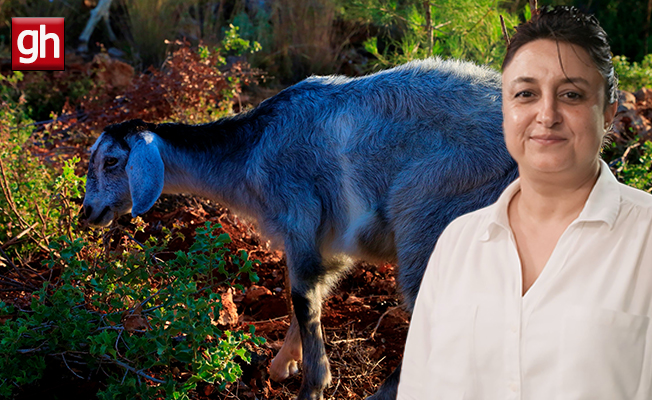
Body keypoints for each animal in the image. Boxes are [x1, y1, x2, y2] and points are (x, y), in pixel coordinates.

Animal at [83, 58, 520, 400]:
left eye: (111, 161)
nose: (88, 211)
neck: (251, 150)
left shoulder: (299, 214)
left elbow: (302, 296)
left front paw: (312, 384)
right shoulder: (327, 243)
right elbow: (311, 292)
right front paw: (282, 366)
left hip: (428, 216)